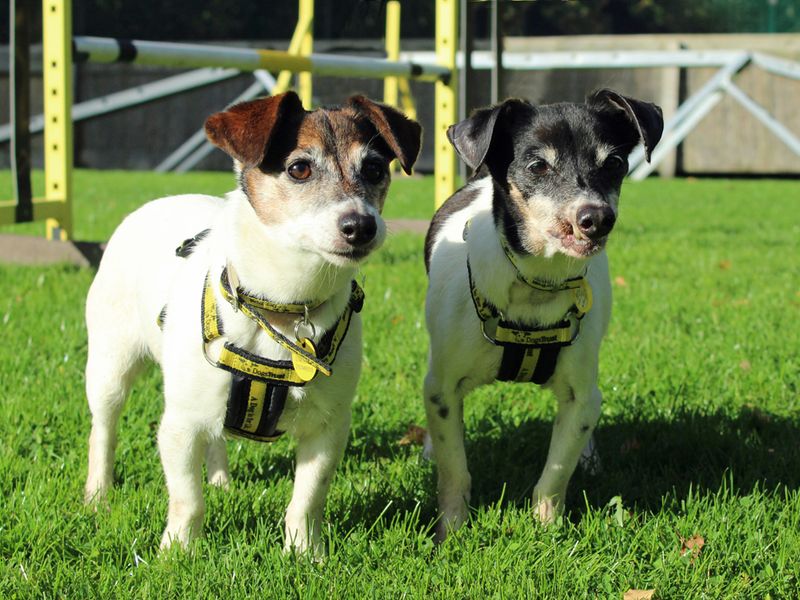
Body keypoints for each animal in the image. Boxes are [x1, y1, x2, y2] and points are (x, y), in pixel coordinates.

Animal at [84, 90, 422, 552]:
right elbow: (187, 499)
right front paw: (178, 551)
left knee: (215, 440)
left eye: (373, 168)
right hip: (109, 368)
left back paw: (221, 481)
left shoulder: (328, 428)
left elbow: (308, 498)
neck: (281, 308)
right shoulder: (179, 426)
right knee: (104, 428)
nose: (361, 225)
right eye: (299, 168)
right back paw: (97, 495)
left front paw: (304, 553)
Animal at [424, 91, 664, 540]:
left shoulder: (577, 395)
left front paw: (546, 526)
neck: (535, 288)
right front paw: (452, 529)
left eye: (614, 164)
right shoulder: (444, 392)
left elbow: (556, 470)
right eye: (538, 166)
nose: (597, 218)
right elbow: (455, 470)